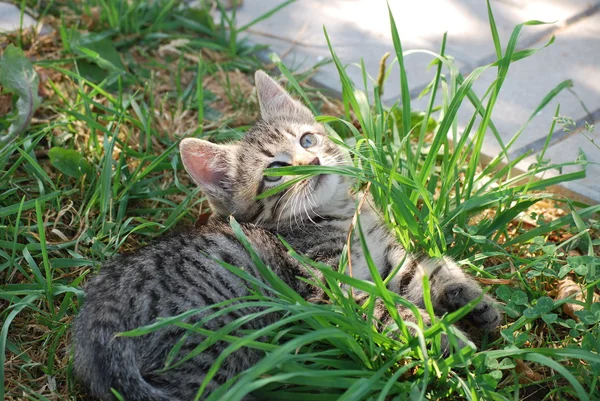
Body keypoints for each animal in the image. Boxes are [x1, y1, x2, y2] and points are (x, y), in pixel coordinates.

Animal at [71, 70, 502, 400]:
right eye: (276, 171)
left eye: (307, 140)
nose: (312, 160)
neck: (343, 216)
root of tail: (97, 323)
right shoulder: (329, 287)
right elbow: (387, 310)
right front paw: (444, 340)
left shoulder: (388, 258)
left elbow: (430, 270)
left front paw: (473, 301)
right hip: (215, 342)